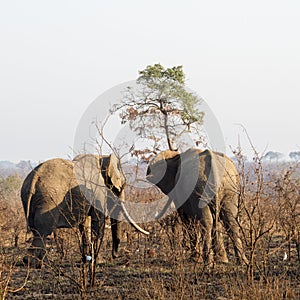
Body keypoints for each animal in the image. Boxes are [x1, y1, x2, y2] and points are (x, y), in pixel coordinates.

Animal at [20, 154, 148, 266]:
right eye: (119, 188)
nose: (116, 256)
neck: (102, 157)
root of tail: (33, 180)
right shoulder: (98, 192)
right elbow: (97, 222)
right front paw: (98, 261)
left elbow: (85, 224)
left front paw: (86, 259)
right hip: (47, 200)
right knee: (43, 231)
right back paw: (39, 264)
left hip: (28, 198)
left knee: (36, 230)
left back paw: (33, 262)